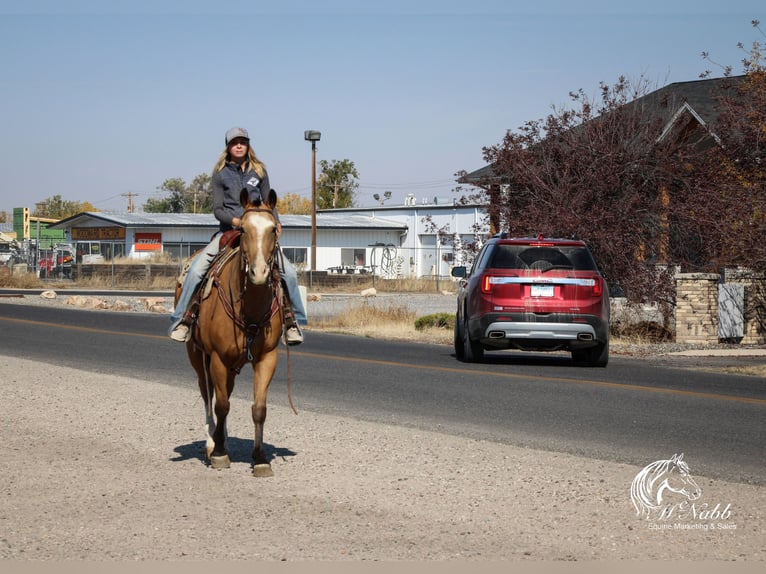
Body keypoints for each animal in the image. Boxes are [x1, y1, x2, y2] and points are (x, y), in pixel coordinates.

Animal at [177, 188, 292, 476]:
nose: (259, 273)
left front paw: (260, 458)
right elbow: (221, 405)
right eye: (244, 230)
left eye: (273, 229)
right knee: (208, 394)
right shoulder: (217, 357)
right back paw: (212, 441)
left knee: (223, 392)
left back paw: (223, 437)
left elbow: (258, 408)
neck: (249, 307)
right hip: (197, 355)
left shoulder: (267, 358)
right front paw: (219, 453)